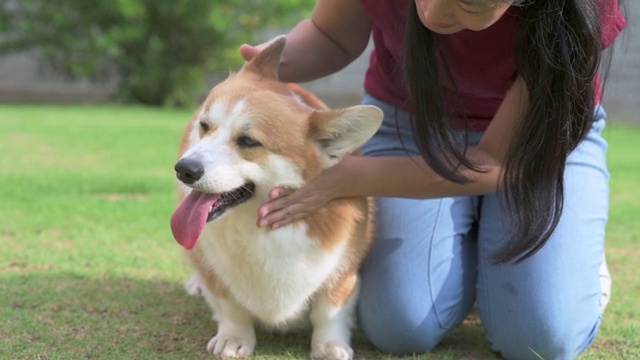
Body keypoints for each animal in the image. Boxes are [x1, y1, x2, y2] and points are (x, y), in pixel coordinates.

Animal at [168, 35, 382, 358]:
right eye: (205, 126)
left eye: (248, 141)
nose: (184, 170)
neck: (258, 228)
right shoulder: (217, 272)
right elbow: (231, 307)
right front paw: (233, 338)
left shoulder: (343, 269)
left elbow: (328, 311)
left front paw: (329, 345)